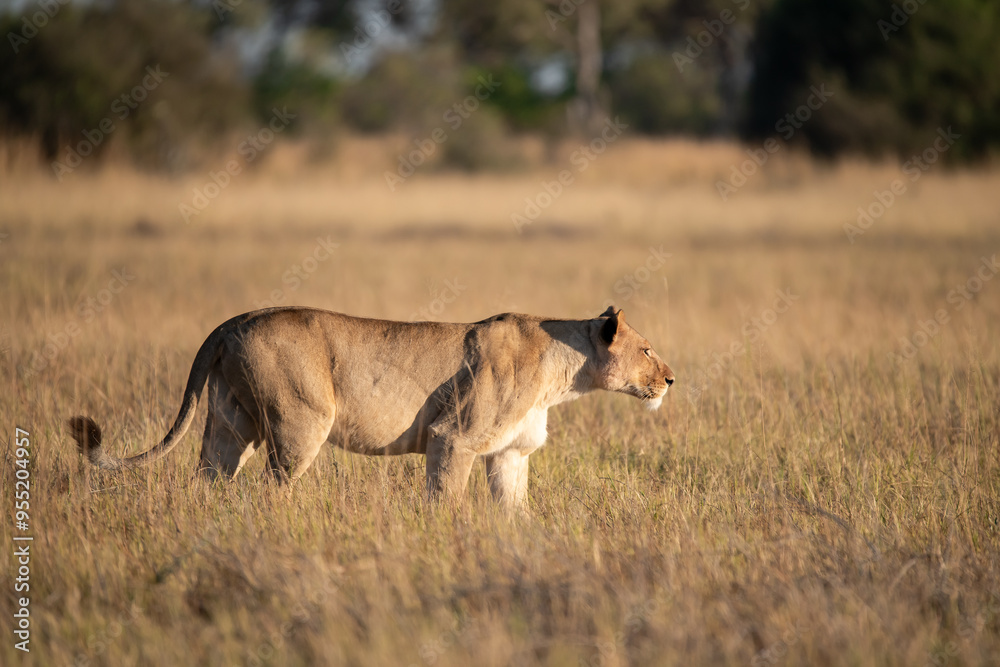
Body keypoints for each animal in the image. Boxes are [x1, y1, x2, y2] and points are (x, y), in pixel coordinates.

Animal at [68, 306, 674, 509]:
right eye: (647, 349)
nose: (671, 378)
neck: (564, 373)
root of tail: (231, 321)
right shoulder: (452, 436)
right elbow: (444, 501)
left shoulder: (509, 455)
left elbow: (515, 511)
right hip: (300, 424)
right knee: (270, 491)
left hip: (228, 427)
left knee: (206, 481)